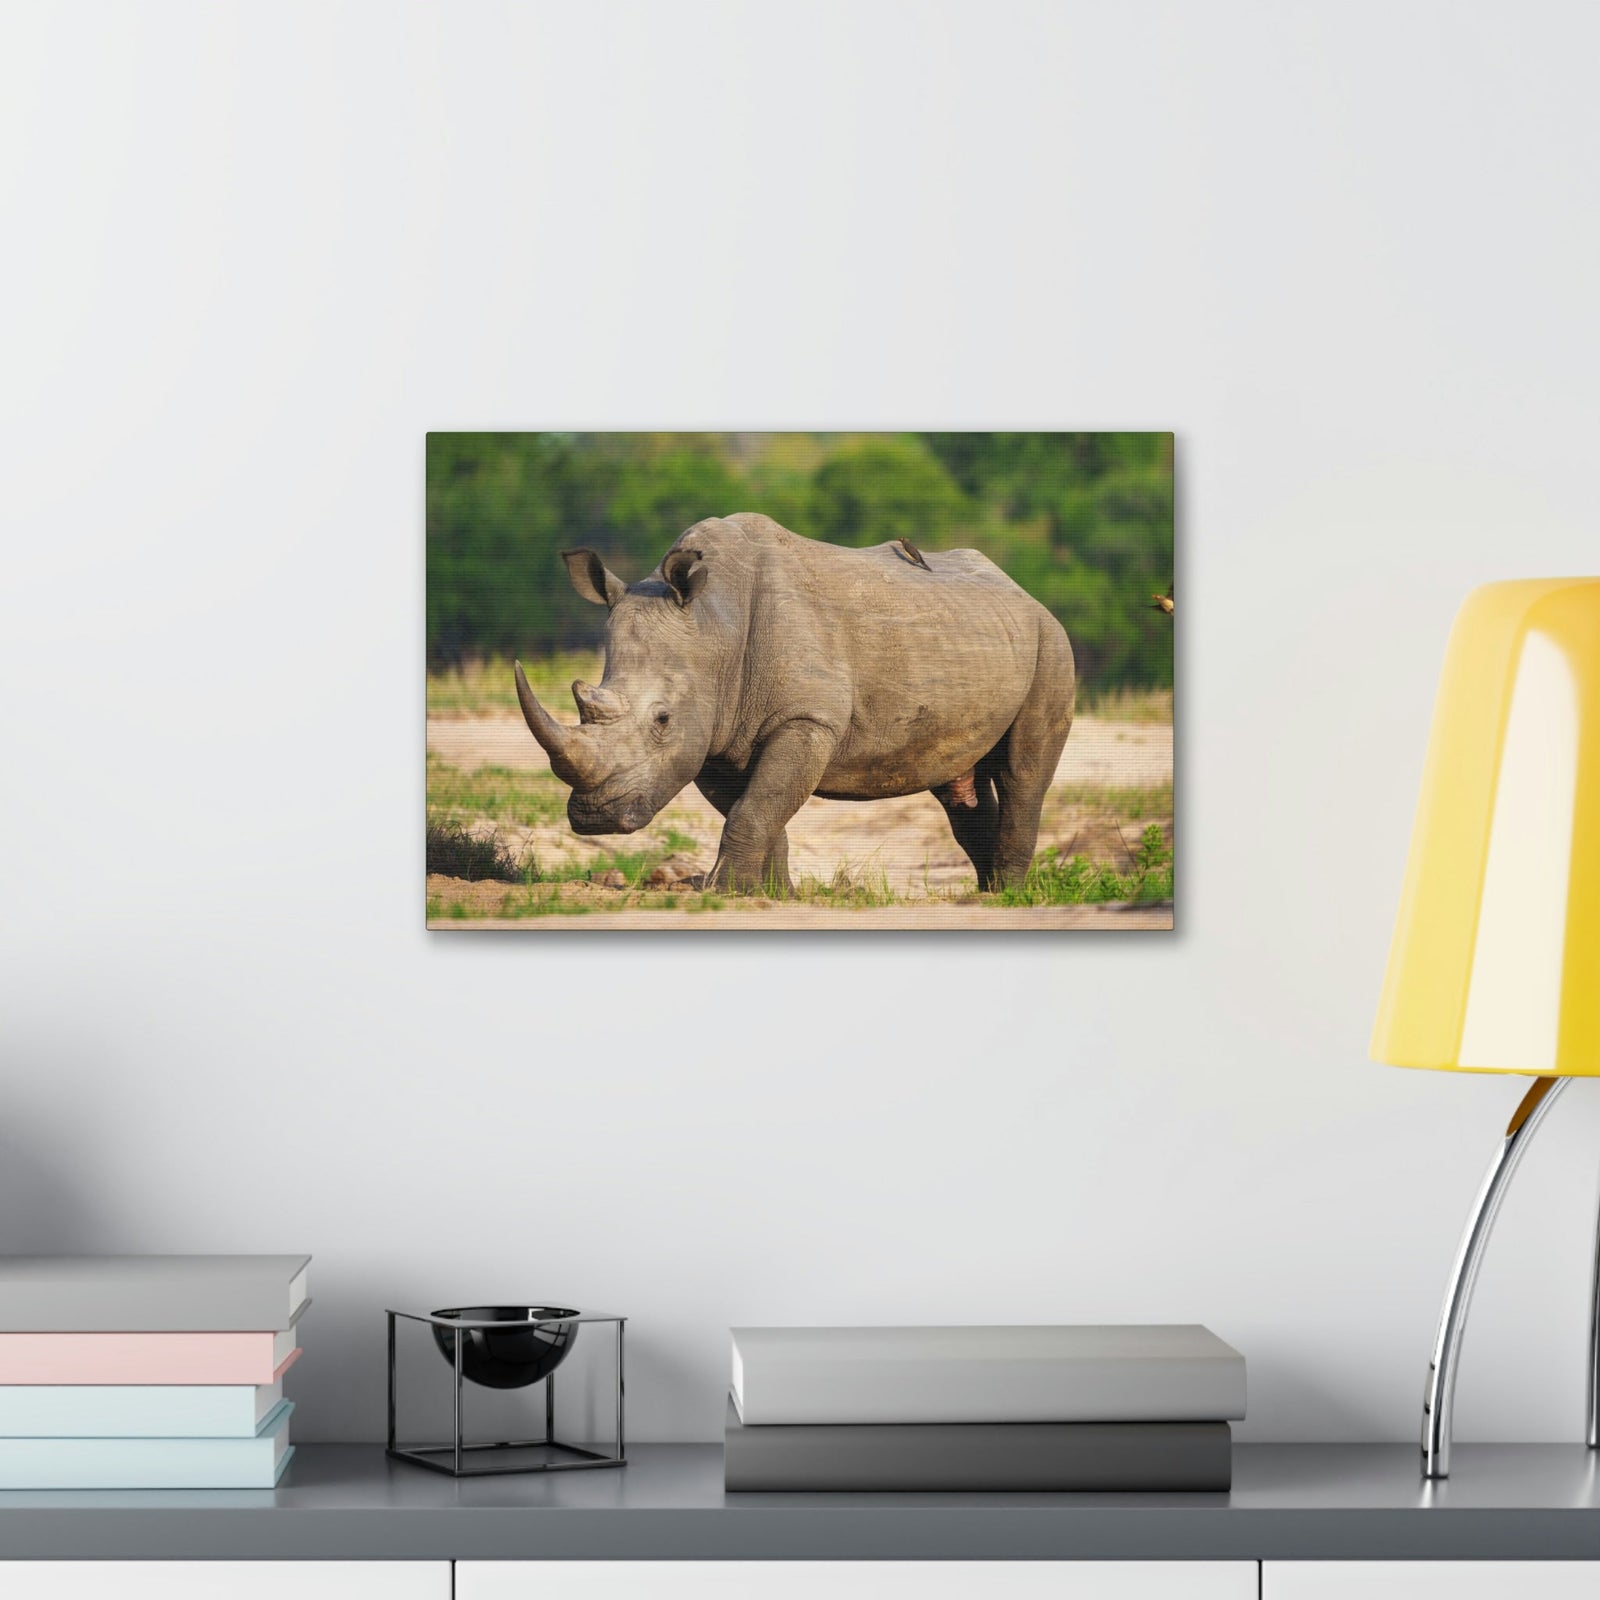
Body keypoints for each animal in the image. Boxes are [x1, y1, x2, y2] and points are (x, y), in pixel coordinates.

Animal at [514, 513, 1075, 893]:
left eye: (662, 719)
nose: (595, 818)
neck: (714, 625)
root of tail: (1021, 590)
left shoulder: (806, 719)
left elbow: (756, 807)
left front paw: (723, 891)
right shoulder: (715, 733)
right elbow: (757, 808)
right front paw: (767, 894)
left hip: (1051, 641)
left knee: (1023, 775)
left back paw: (1009, 897)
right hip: (972, 636)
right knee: (958, 787)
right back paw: (986, 893)